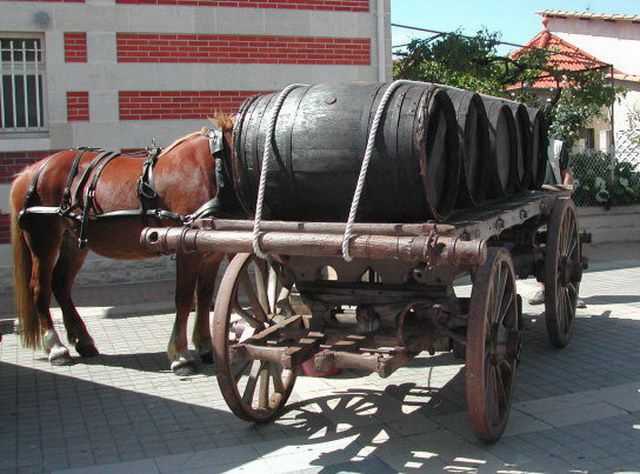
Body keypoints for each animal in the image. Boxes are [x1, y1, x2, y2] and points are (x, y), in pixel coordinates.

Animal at [9, 115, 240, 374]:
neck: (215, 165)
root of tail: (29, 172)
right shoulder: (186, 250)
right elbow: (184, 298)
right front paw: (181, 355)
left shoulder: (211, 252)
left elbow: (205, 296)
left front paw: (205, 346)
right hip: (44, 240)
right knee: (40, 288)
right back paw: (56, 348)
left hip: (74, 243)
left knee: (61, 285)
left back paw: (83, 341)